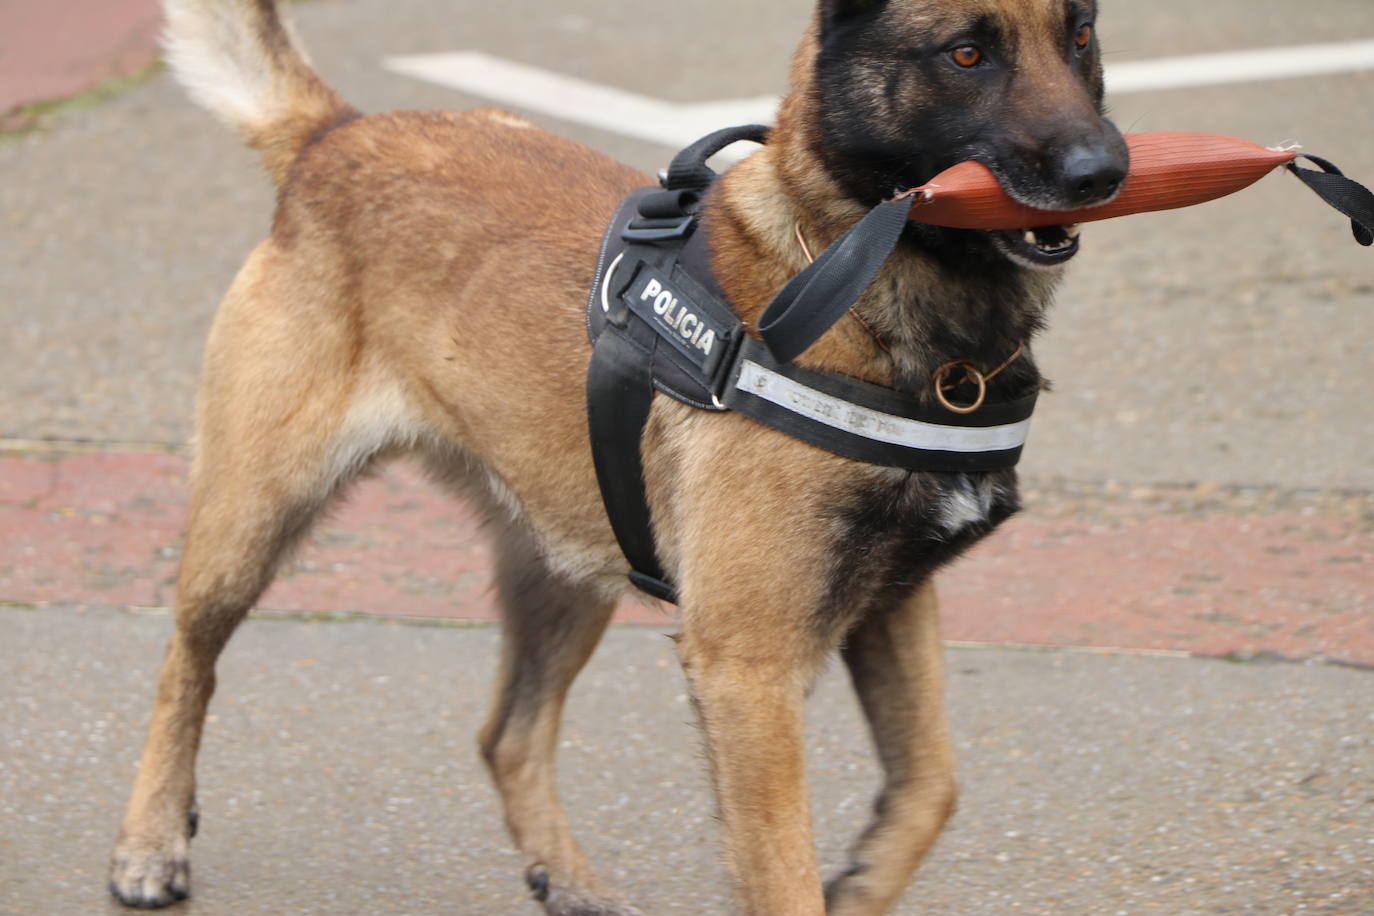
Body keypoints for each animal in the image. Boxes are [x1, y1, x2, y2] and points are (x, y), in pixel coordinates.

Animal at [112, 1, 1121, 916]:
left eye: (1080, 35)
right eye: (965, 53)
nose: (1105, 170)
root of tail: (340, 134)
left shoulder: (891, 606)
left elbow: (932, 785)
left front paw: (867, 876)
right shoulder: (748, 671)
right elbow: (784, 874)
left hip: (568, 564)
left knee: (507, 736)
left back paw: (567, 879)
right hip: (254, 518)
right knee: (183, 665)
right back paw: (150, 843)